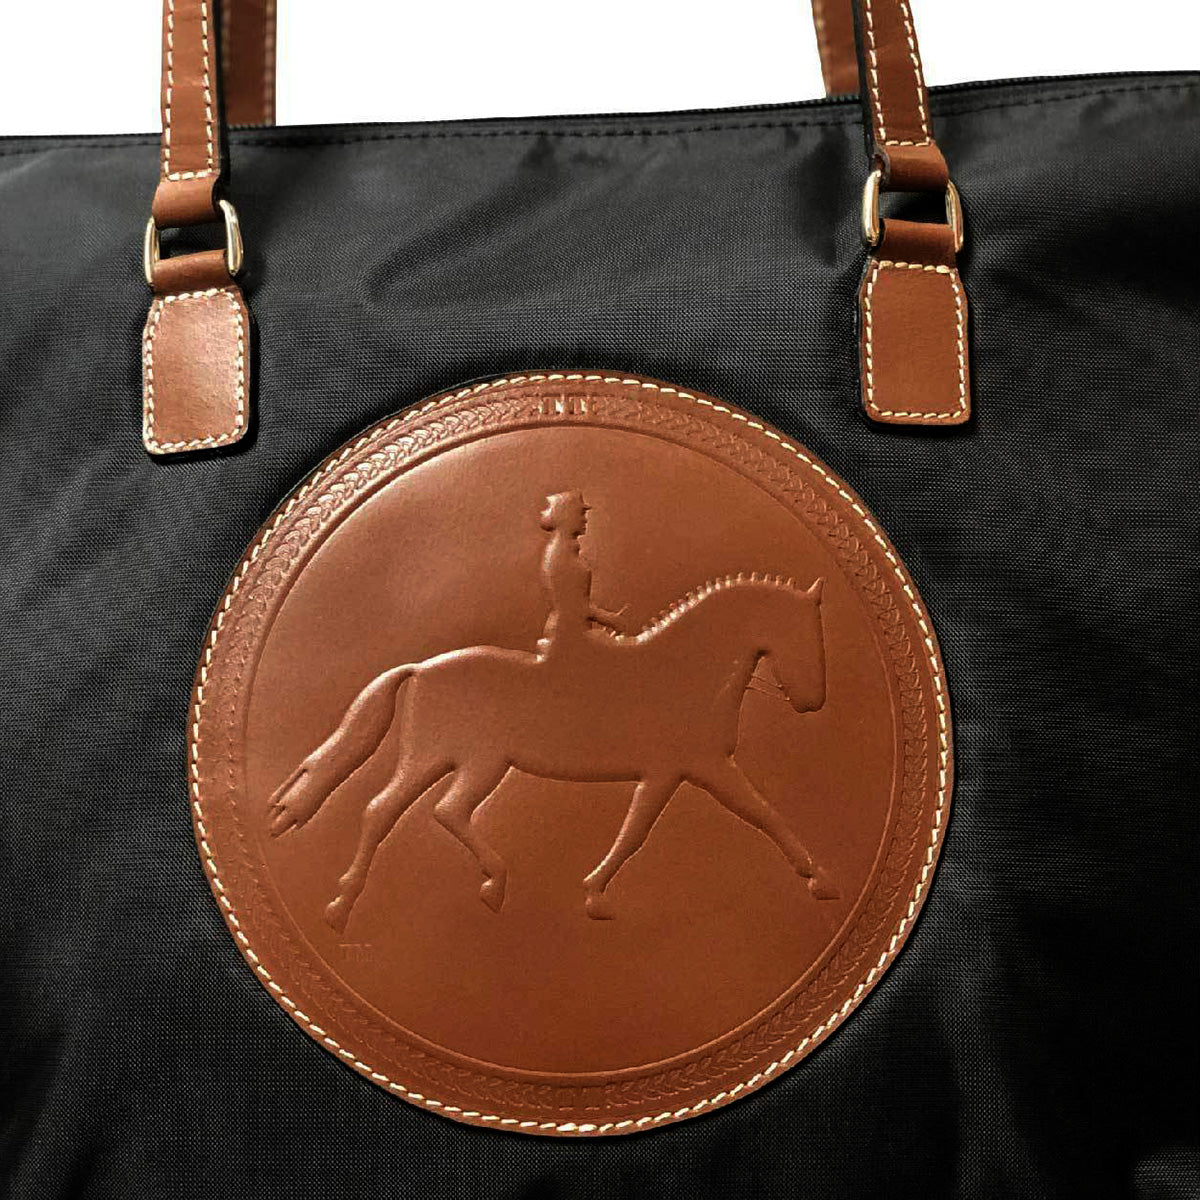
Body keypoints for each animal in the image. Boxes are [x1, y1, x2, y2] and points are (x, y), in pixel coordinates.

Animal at [268, 574, 838, 930]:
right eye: (805, 634)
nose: (813, 702)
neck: (683, 670)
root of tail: (420, 668)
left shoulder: (673, 772)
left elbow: (643, 828)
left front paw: (594, 893)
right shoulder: (696, 767)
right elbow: (751, 814)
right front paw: (819, 879)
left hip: (478, 762)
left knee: (442, 810)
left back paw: (491, 885)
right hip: (444, 758)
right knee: (386, 809)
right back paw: (343, 906)